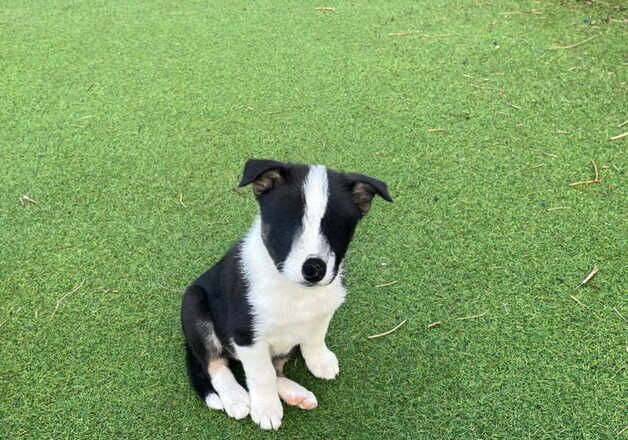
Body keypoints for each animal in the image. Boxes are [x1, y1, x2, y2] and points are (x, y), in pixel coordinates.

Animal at [179, 158, 390, 430]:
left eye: (335, 226)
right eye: (289, 223)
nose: (314, 268)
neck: (293, 289)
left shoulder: (324, 309)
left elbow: (314, 338)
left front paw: (320, 361)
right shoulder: (246, 335)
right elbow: (261, 375)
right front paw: (266, 408)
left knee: (276, 367)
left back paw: (296, 394)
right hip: (194, 304)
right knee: (214, 362)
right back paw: (237, 398)